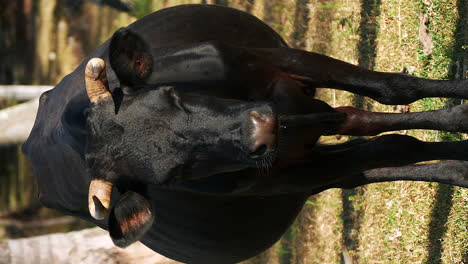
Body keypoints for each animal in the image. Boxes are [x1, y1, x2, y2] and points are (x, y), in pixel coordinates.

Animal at [23, 4, 468, 264]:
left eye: (170, 95)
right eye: (170, 175)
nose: (260, 129)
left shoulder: (281, 61)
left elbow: (392, 91)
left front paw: (460, 105)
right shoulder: (289, 175)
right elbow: (397, 146)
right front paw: (460, 159)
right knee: (364, 163)